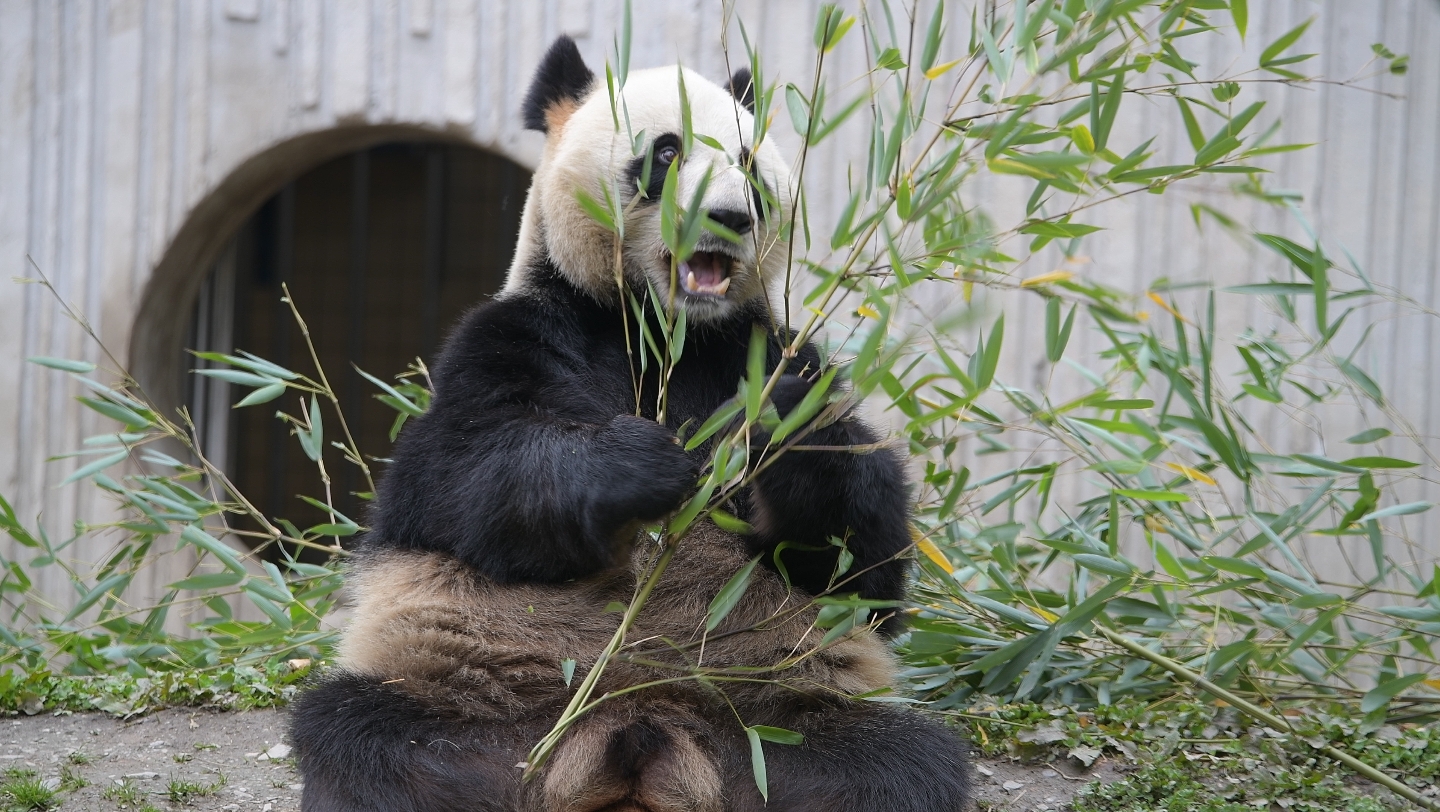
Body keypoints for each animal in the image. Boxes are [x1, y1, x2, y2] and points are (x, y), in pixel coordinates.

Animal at [286, 36, 973, 812]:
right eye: (667, 151)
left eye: (748, 164)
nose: (729, 218)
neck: (663, 330)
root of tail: (637, 740)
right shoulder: (515, 333)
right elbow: (461, 473)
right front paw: (648, 464)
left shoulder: (773, 352)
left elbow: (865, 562)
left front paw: (780, 433)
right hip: (461, 697)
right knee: (373, 747)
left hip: (783, 720)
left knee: (894, 764)